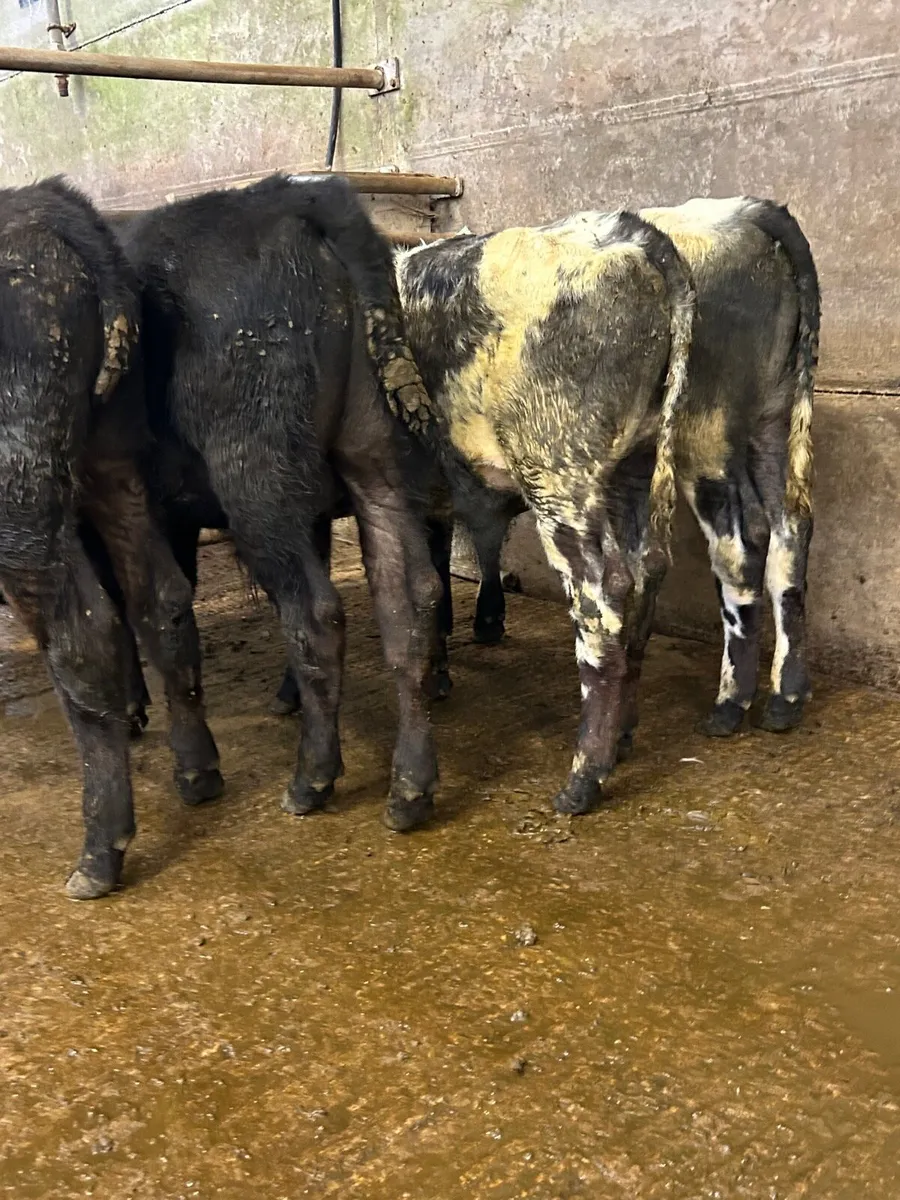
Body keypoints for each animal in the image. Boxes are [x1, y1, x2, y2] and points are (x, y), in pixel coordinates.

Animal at [0, 177, 222, 899]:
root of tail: (50, 207)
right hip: (112, 458)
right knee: (160, 600)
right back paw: (197, 771)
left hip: (20, 497)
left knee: (87, 634)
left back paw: (100, 850)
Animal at [114, 174, 443, 834]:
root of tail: (288, 193)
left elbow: (145, 609)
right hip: (374, 458)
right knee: (409, 597)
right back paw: (410, 788)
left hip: (256, 478)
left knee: (313, 613)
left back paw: (311, 778)